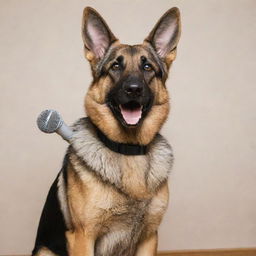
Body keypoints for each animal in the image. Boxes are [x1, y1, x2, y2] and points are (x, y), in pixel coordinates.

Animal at [31, 6, 180, 256]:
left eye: (147, 67)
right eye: (115, 66)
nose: (133, 89)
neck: (128, 149)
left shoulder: (149, 237)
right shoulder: (82, 238)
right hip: (44, 251)